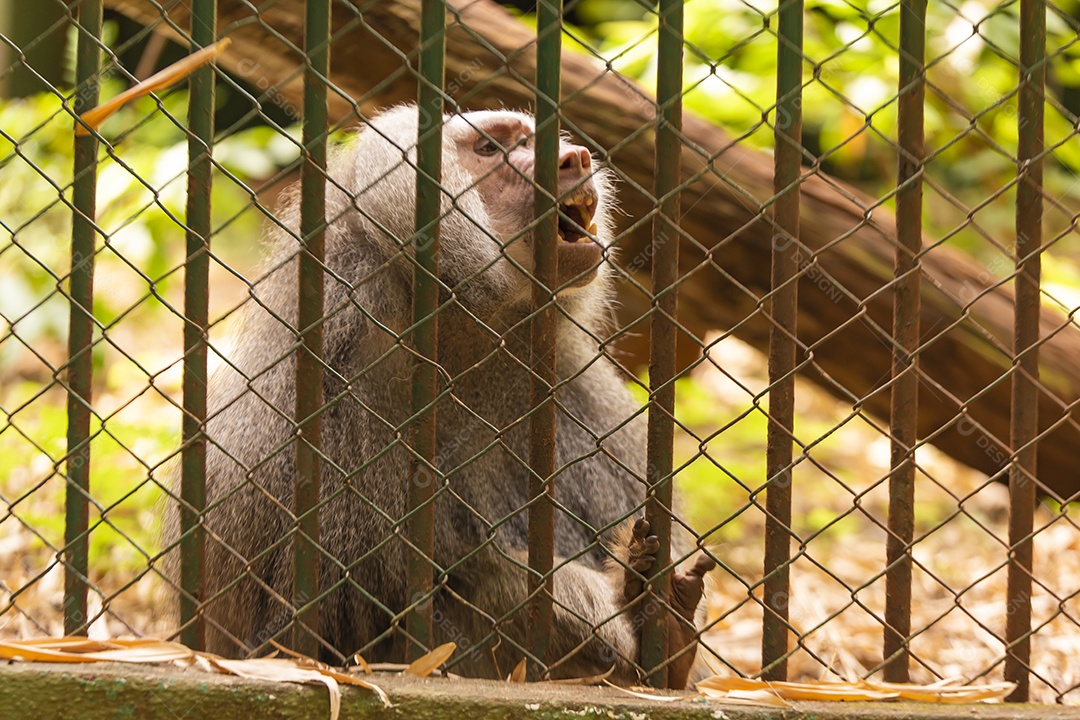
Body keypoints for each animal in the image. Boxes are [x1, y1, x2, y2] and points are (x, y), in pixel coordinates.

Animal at [166, 105, 714, 688]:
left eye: (529, 139)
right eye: (491, 150)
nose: (576, 158)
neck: (460, 333)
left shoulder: (572, 386)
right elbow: (322, 631)